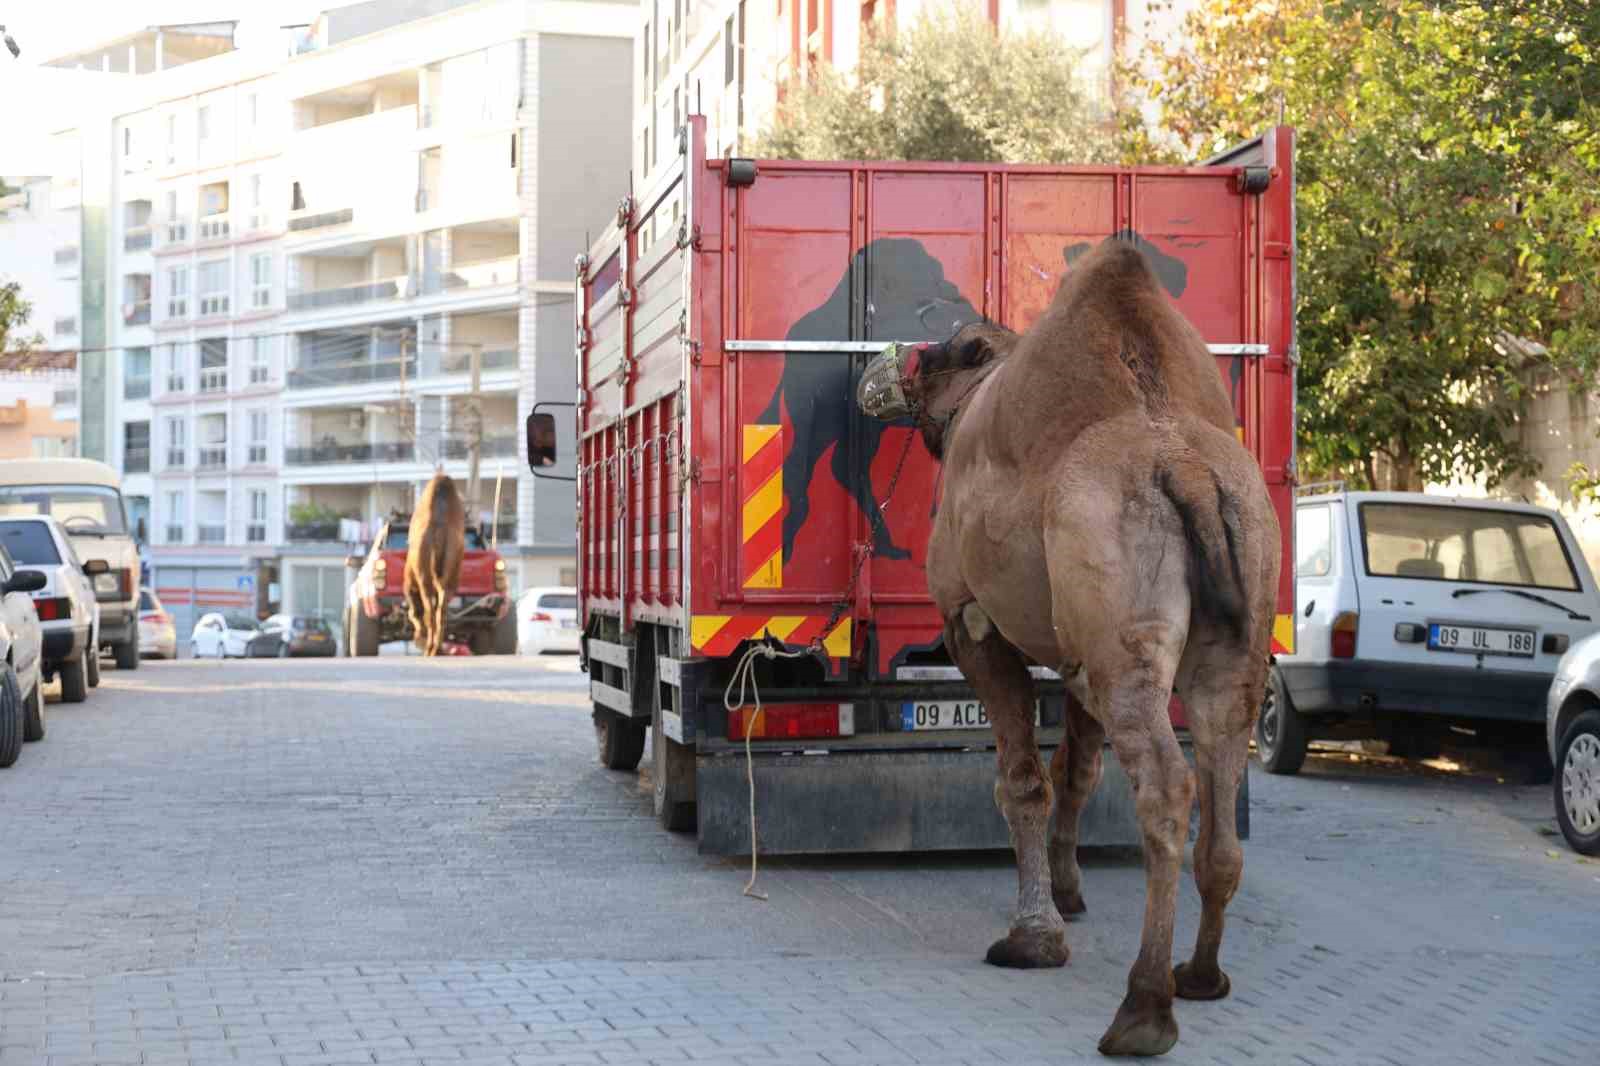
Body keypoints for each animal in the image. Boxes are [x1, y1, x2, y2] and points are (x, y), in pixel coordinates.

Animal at [406, 473, 467, 656]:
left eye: (411, 616)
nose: (417, 638)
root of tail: (440, 528)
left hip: (425, 575)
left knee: (431, 611)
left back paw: (430, 649)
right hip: (451, 567)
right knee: (441, 610)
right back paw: (437, 648)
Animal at [857, 238, 1280, 1056]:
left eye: (935, 349)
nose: (876, 373)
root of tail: (1187, 471)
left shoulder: (971, 621)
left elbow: (1023, 780)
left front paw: (1034, 936)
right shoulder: (1076, 652)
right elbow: (1077, 771)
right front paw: (1067, 892)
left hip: (1127, 629)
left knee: (1167, 784)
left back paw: (1144, 1010)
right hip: (1238, 619)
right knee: (1220, 780)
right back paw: (1200, 975)